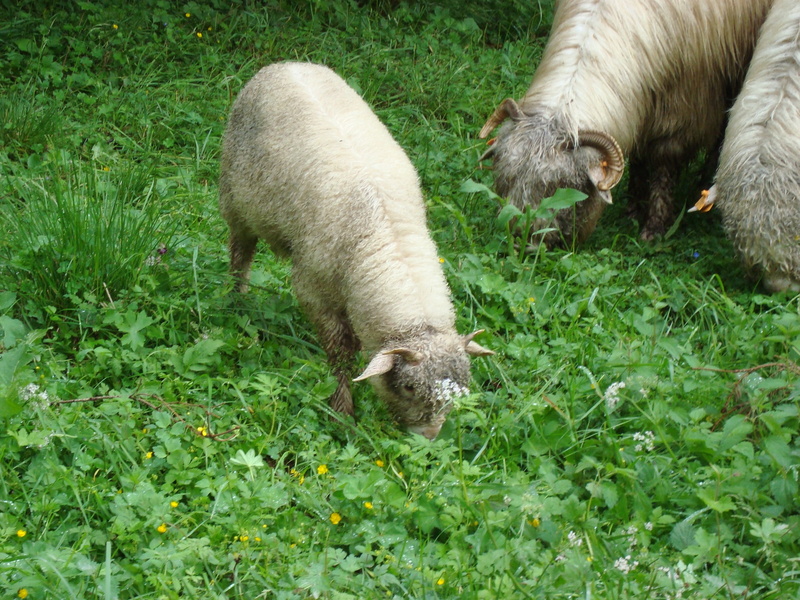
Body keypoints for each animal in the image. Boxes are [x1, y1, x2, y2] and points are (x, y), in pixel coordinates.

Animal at [219, 61, 493, 439]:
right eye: (409, 387)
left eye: (462, 390)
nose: (429, 439)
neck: (388, 239)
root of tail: (287, 63)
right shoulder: (313, 291)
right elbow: (340, 354)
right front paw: (343, 412)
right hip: (236, 199)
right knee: (240, 252)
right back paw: (238, 299)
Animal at [478, 0, 774, 248]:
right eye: (503, 179)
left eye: (564, 188)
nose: (522, 242)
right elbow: (639, 161)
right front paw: (633, 209)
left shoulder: (681, 112)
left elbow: (663, 166)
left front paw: (655, 227)